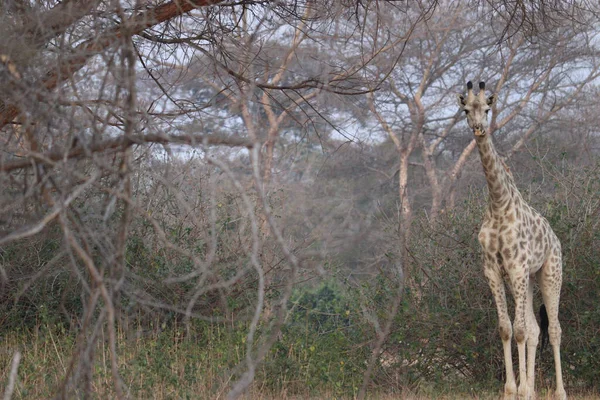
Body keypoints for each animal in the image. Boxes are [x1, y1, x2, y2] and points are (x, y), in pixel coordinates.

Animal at [460, 81, 568, 400]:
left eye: (488, 108)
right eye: (466, 109)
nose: (479, 128)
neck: (498, 204)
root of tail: (555, 238)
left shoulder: (517, 268)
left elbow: (519, 330)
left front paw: (520, 389)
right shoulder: (494, 271)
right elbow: (507, 329)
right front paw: (512, 390)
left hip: (549, 273)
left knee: (553, 329)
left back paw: (559, 392)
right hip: (528, 280)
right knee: (534, 329)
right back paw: (531, 388)